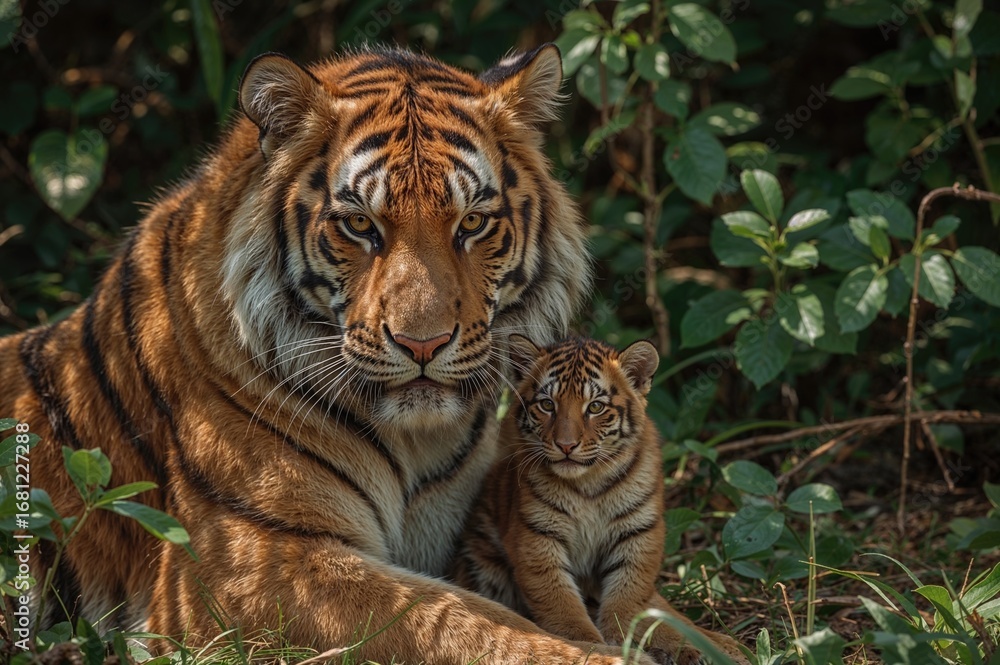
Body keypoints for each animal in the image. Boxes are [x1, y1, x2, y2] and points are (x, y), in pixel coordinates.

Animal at [0, 45, 655, 664]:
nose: (423, 343)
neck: (419, 443)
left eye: (472, 223)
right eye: (360, 225)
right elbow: (451, 622)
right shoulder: (247, 564)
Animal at [453, 335, 749, 665]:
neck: (589, 483)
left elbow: (628, 597)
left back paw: (722, 647)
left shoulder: (639, 533)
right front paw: (591, 646)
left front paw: (622, 636)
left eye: (595, 407)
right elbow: (560, 604)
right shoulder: (537, 537)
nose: (566, 445)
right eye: (547, 405)